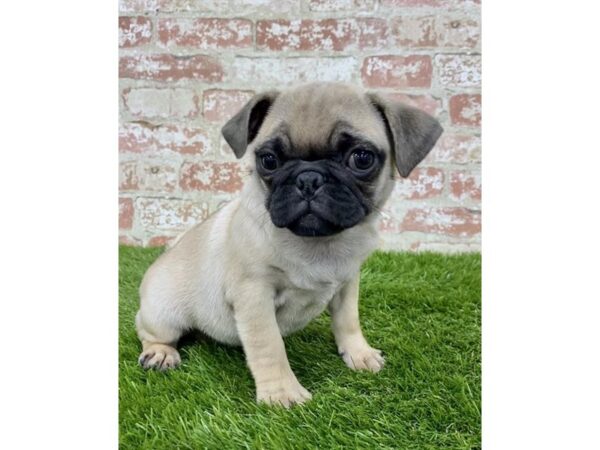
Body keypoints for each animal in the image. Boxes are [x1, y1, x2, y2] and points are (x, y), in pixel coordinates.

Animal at [138, 81, 442, 408]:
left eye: (361, 158)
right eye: (269, 160)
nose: (308, 178)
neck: (320, 244)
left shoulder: (348, 283)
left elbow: (348, 321)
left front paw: (358, 353)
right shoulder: (254, 295)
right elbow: (269, 345)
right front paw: (282, 392)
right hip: (164, 314)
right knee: (148, 330)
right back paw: (160, 353)